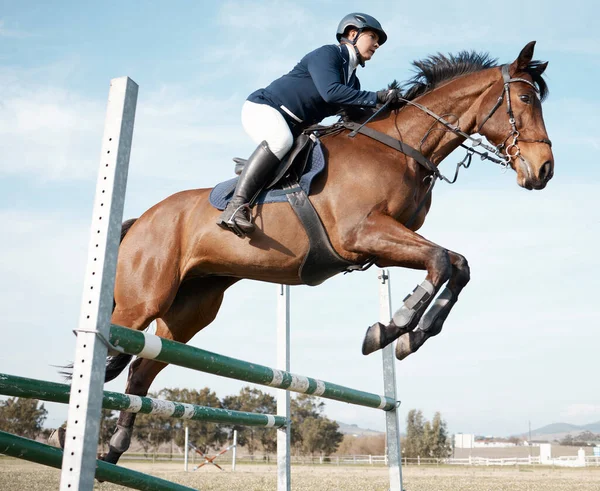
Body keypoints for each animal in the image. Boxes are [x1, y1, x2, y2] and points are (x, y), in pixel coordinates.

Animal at [96, 40, 552, 464]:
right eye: (525, 99)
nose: (544, 169)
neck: (400, 147)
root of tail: (142, 219)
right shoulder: (363, 232)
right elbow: (441, 262)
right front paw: (390, 329)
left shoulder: (382, 244)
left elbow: (456, 265)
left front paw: (411, 336)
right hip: (142, 302)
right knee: (114, 348)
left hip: (189, 312)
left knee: (141, 370)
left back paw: (114, 449)